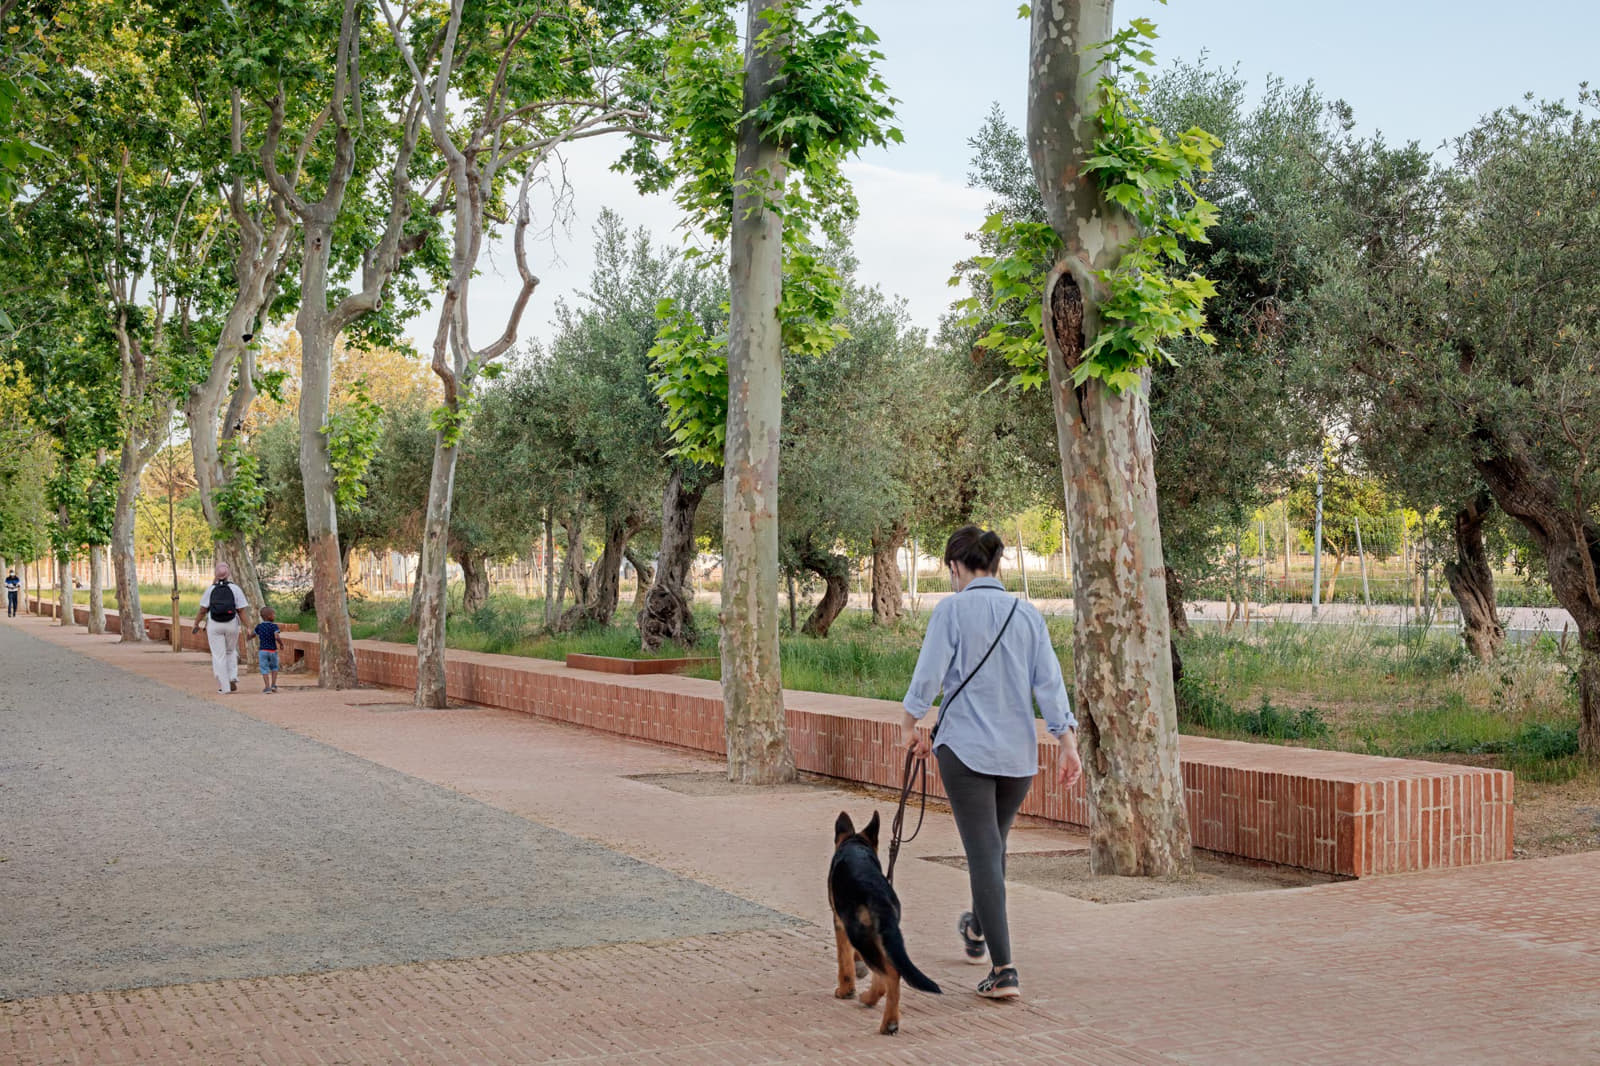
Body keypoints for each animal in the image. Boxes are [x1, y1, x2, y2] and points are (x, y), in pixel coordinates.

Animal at [832, 806, 940, 1030]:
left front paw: (846, 990)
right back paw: (876, 1004)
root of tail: (878, 894)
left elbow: (844, 961)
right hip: (884, 937)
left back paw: (885, 1019)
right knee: (887, 975)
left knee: (890, 974)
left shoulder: (840, 924)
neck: (855, 845)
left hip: (860, 935)